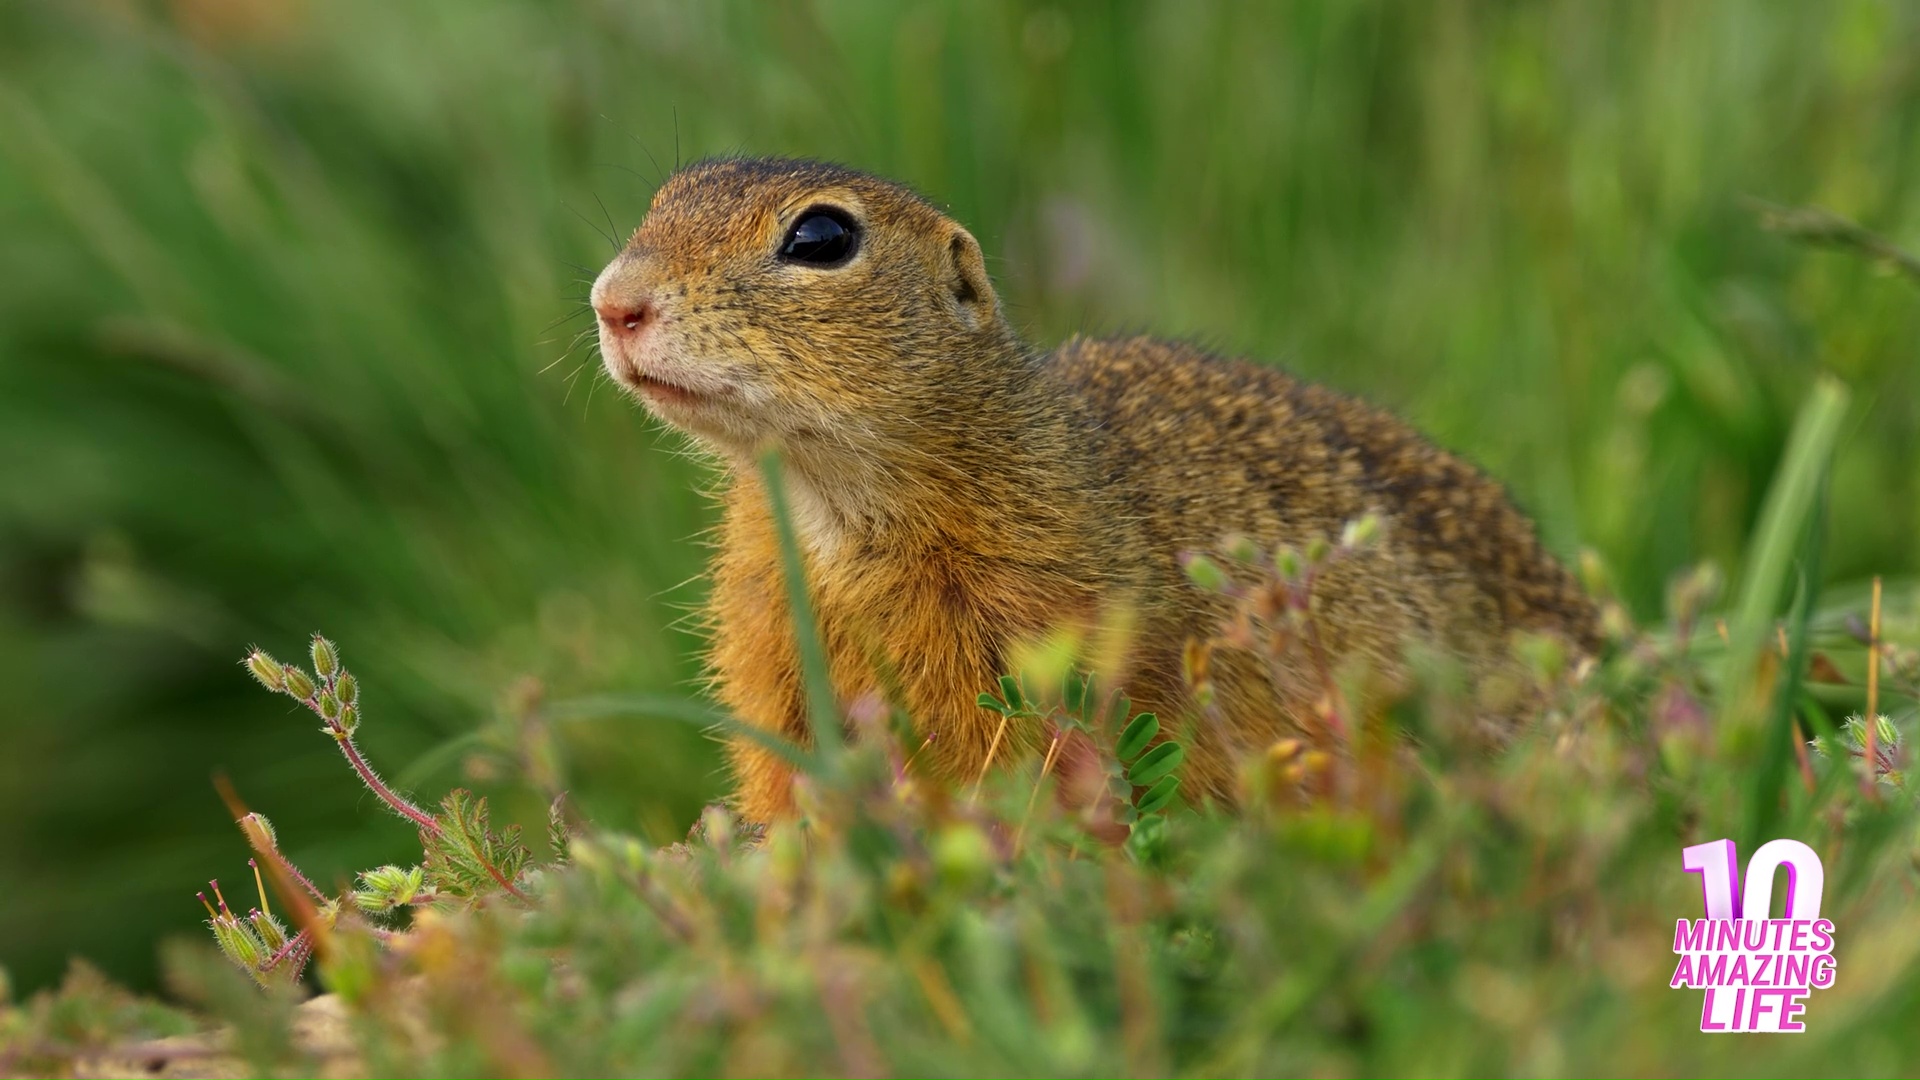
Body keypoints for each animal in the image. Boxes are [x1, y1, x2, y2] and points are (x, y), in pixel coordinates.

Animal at [591, 157, 1599, 823]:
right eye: (663, 197)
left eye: (822, 237)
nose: (613, 302)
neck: (828, 498)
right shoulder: (763, 639)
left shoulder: (1033, 620)